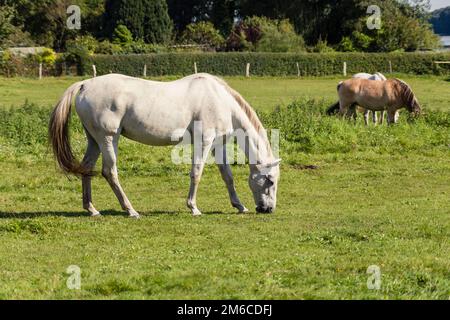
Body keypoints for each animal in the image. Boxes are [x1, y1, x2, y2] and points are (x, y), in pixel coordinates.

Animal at [50, 73, 282, 218]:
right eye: (270, 180)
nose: (268, 209)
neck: (219, 99)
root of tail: (85, 84)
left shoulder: (218, 145)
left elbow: (228, 176)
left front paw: (239, 206)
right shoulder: (204, 142)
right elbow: (196, 173)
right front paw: (193, 208)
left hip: (94, 141)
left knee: (87, 169)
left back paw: (92, 209)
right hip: (108, 139)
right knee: (110, 172)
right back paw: (131, 210)